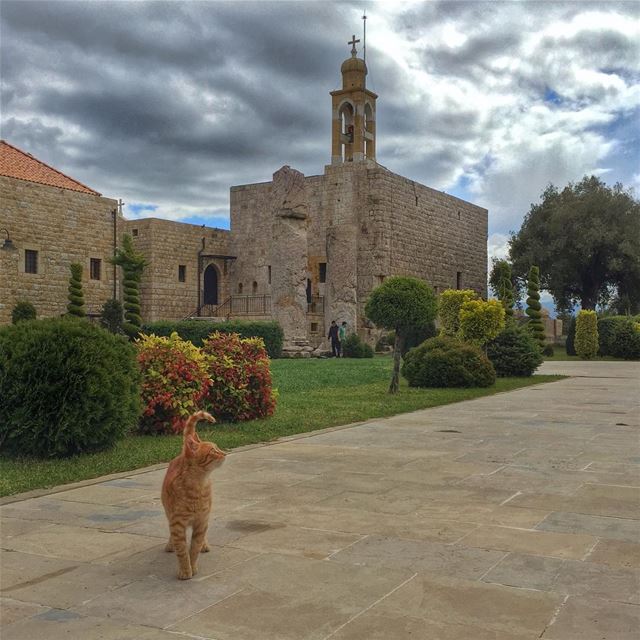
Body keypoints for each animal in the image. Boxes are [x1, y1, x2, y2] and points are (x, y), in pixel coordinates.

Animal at [161, 410, 226, 580]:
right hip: (169, 513)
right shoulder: (177, 524)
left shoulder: (201, 521)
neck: (198, 486)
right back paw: (170, 544)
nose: (225, 453)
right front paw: (185, 570)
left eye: (218, 447)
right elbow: (182, 550)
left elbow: (194, 548)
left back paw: (204, 544)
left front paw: (193, 565)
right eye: (213, 451)